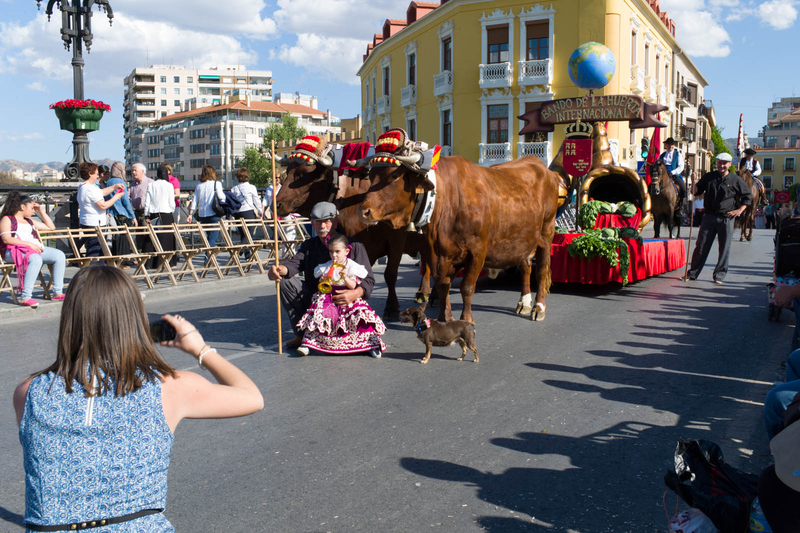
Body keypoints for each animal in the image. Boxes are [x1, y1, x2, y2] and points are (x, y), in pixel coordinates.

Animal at [276, 156, 432, 318]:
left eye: (303, 173)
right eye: (287, 172)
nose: (277, 204)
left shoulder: (396, 240)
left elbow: (390, 274)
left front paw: (391, 307)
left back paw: (425, 293)